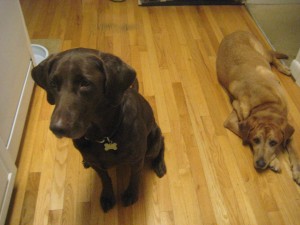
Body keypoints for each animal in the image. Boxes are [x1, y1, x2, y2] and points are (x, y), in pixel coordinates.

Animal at [217, 30, 298, 185]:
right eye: (256, 140)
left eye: (273, 142)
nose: (260, 164)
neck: (266, 105)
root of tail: (237, 31)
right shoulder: (233, 119)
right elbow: (245, 135)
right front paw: (274, 161)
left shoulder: (287, 120)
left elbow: (292, 144)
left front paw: (297, 169)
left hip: (262, 54)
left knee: (272, 56)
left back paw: (284, 68)